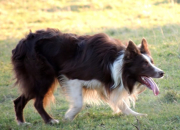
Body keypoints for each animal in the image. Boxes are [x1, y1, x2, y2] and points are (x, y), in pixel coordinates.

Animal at [10, 28, 163, 125]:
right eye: (144, 65)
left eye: (152, 62)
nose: (162, 73)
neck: (116, 63)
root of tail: (22, 43)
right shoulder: (72, 77)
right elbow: (78, 103)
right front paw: (69, 117)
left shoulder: (104, 84)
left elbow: (121, 103)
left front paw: (136, 115)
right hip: (43, 78)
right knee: (37, 102)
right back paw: (50, 121)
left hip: (36, 80)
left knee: (19, 100)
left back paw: (22, 123)